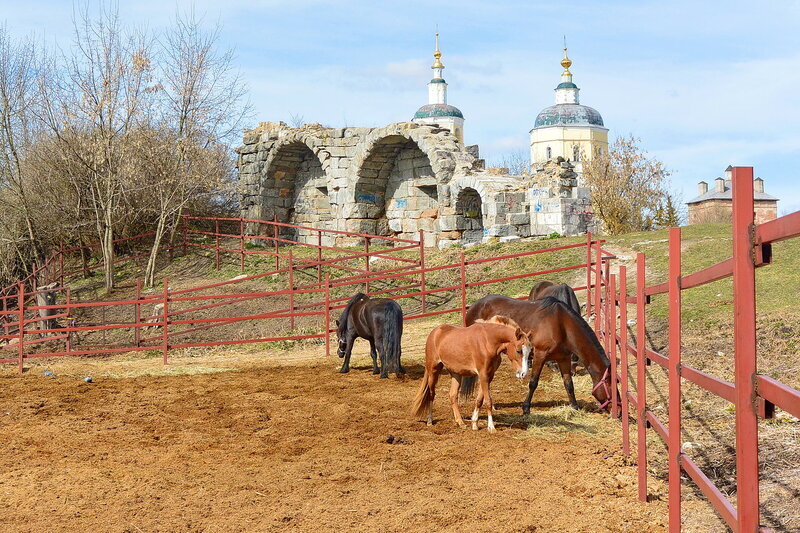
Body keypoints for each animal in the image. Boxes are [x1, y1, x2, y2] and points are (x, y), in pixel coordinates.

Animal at [466, 294, 616, 414]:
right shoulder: (540, 355)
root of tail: (473, 308)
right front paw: (526, 408)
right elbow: (533, 382)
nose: (618, 411)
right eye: (611, 386)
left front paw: (574, 406)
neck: (561, 324)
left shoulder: (564, 358)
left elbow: (569, 384)